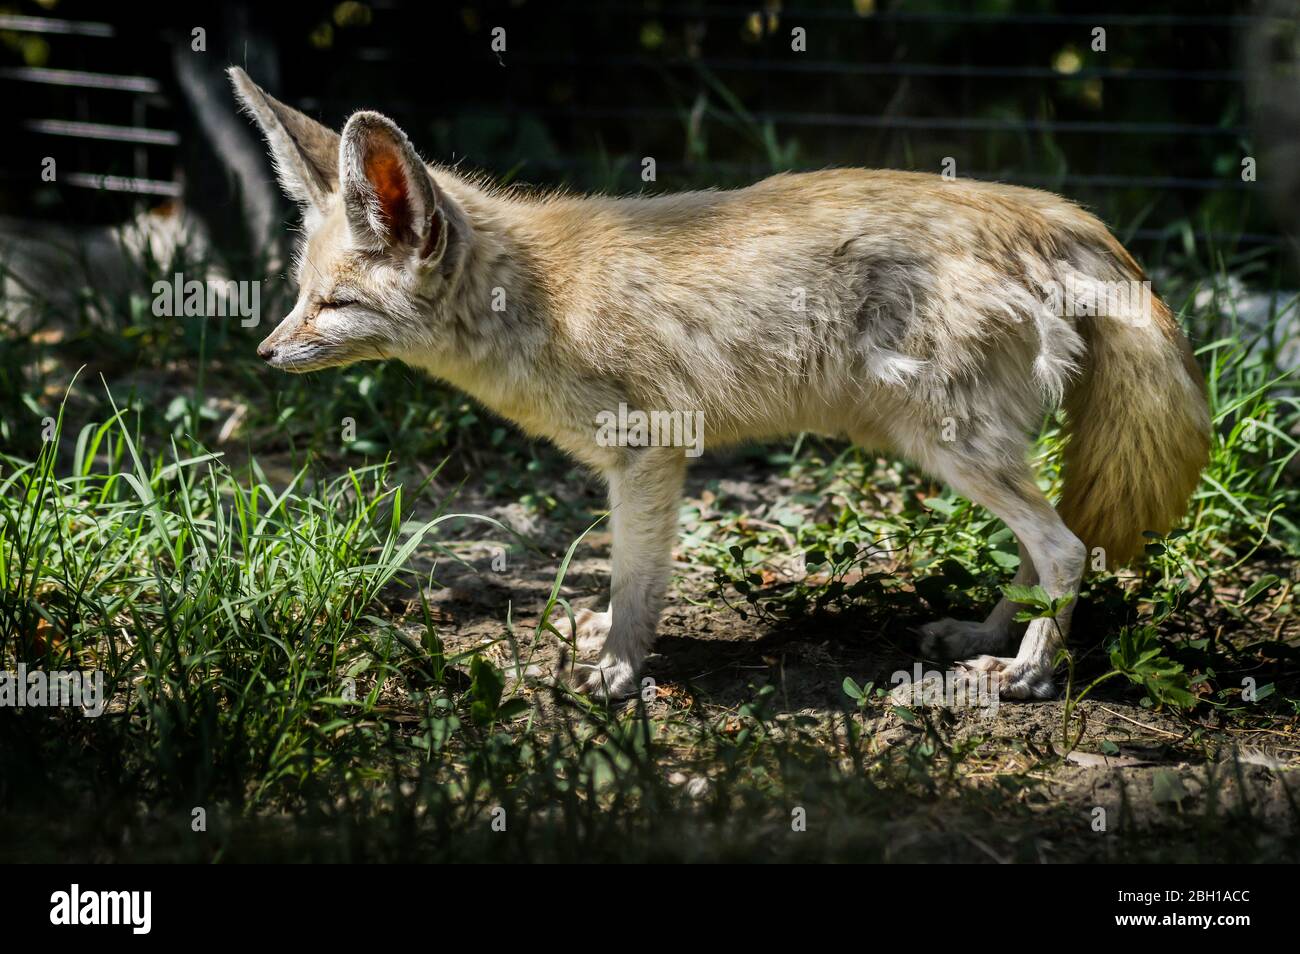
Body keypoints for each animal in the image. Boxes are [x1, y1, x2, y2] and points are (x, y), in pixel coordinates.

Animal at [229, 67, 1210, 701]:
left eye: (335, 304)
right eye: (301, 296)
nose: (266, 355)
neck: (543, 300)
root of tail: (1055, 210)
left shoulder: (650, 456)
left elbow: (636, 582)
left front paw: (619, 674)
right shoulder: (640, 465)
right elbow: (626, 580)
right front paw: (604, 644)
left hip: (951, 449)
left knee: (1067, 549)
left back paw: (1028, 675)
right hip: (954, 451)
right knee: (1046, 547)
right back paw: (985, 635)